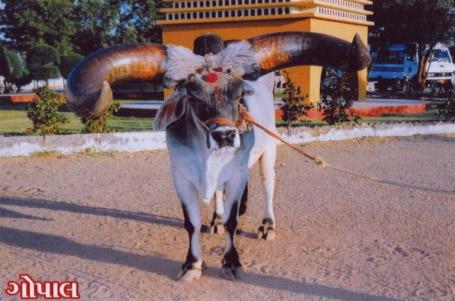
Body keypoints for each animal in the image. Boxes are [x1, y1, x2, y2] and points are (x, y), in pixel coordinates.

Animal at [65, 32, 370, 282]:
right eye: (192, 96)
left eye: (238, 94)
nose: (225, 135)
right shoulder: (181, 178)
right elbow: (191, 223)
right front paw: (192, 265)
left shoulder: (237, 174)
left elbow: (233, 222)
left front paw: (232, 262)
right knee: (218, 197)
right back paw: (215, 219)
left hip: (268, 151)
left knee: (268, 185)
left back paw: (267, 225)